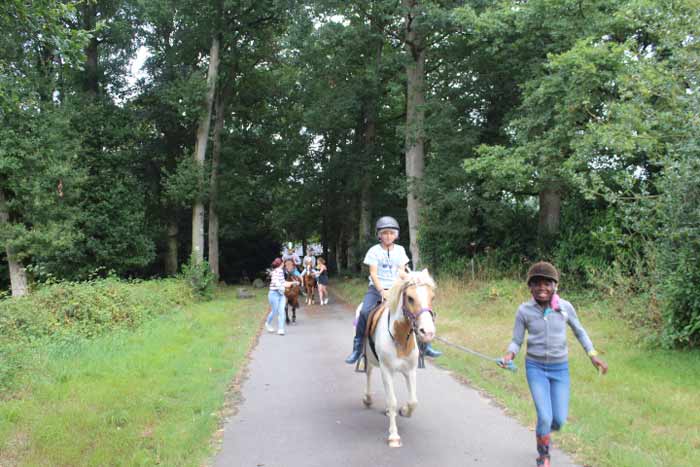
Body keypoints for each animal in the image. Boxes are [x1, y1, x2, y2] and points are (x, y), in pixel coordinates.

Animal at [360, 270, 438, 450]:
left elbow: (413, 401)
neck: (400, 338)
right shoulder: (386, 370)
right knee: (368, 373)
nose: (428, 332)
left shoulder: (410, 371)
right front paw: (394, 436)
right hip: (371, 359)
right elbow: (392, 401)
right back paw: (368, 398)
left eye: (432, 297)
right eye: (410, 298)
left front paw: (404, 411)